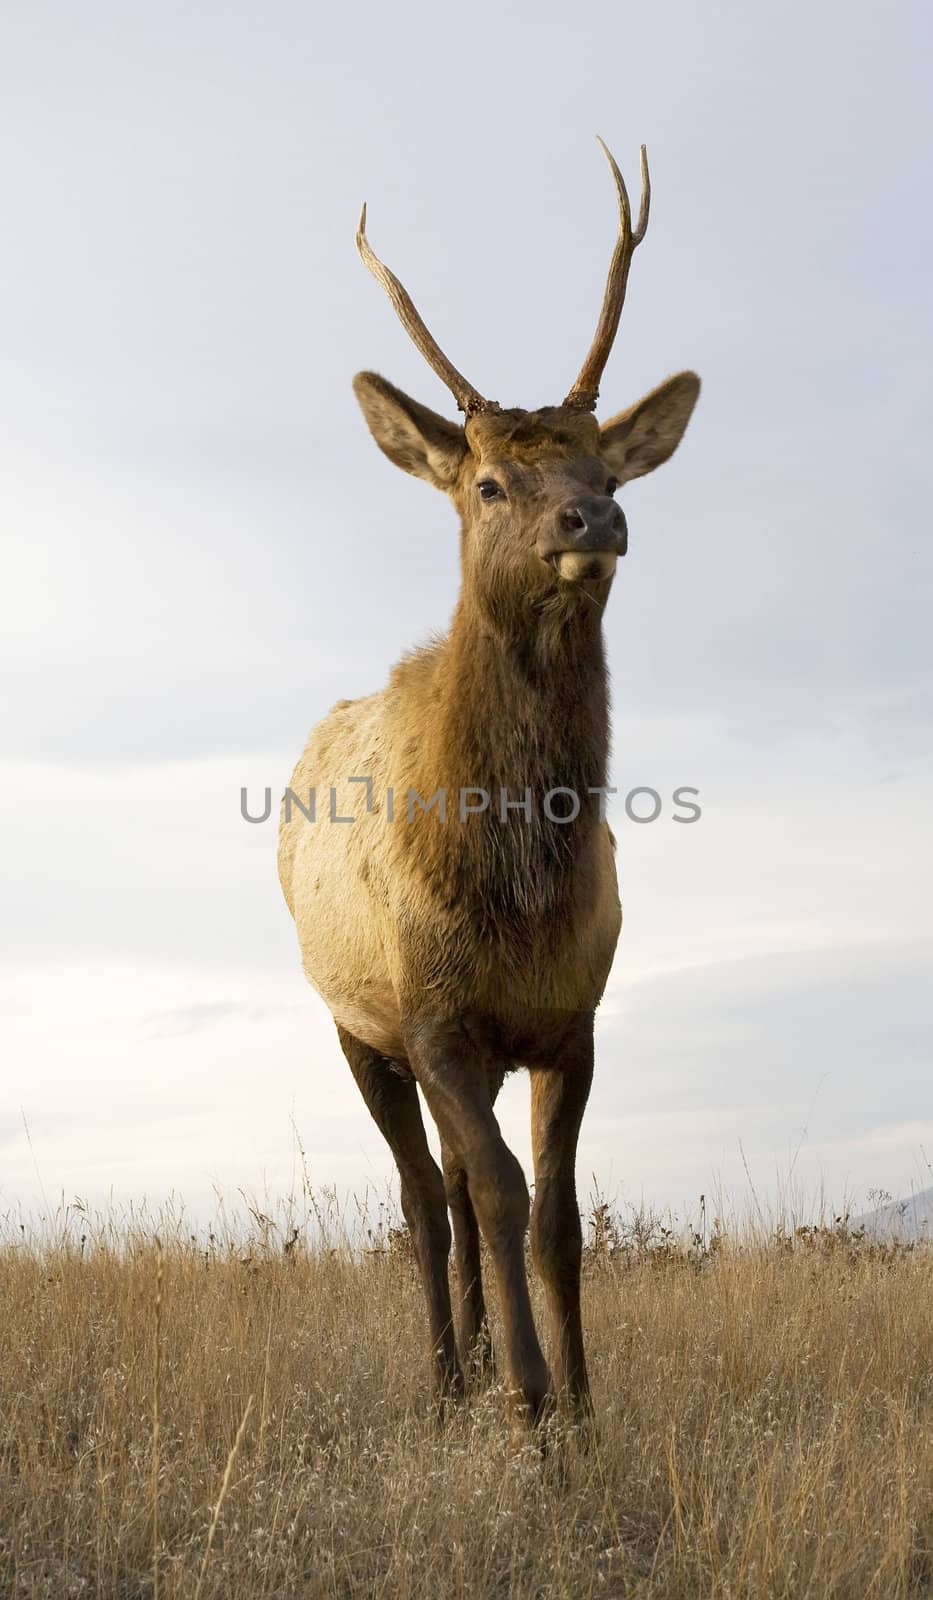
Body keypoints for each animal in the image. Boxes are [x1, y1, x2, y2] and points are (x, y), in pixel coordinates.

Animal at [276, 147, 700, 1427]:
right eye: (492, 483)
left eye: (605, 463)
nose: (594, 515)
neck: (512, 895)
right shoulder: (433, 1015)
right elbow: (502, 1194)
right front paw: (528, 1403)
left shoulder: (572, 1018)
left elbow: (555, 1214)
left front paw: (583, 1404)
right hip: (354, 1022)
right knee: (427, 1194)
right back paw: (445, 1372)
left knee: (456, 1186)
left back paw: (467, 1363)